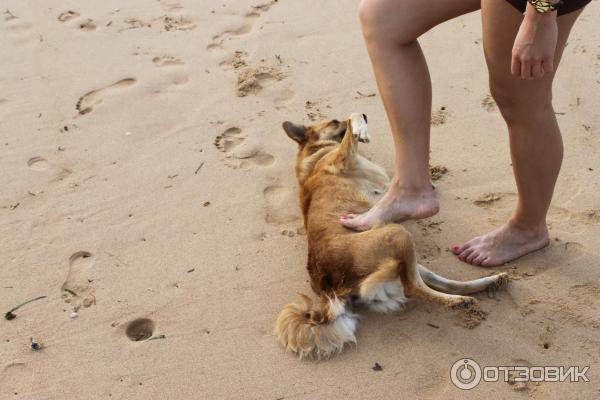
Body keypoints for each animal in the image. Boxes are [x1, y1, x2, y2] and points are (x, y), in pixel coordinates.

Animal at [276, 112, 506, 360]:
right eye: (333, 122)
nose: (368, 117)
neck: (315, 152)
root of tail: (332, 290)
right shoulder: (341, 158)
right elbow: (353, 116)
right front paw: (360, 128)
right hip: (398, 235)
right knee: (413, 288)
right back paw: (460, 301)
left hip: (409, 258)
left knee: (442, 284)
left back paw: (488, 283)